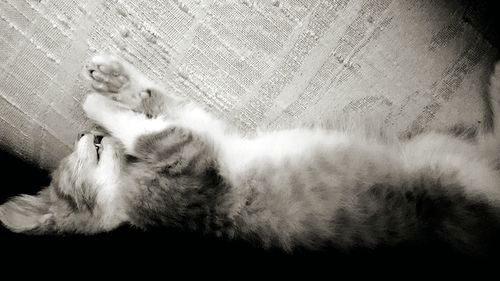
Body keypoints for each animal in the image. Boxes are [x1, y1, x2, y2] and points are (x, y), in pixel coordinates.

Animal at [0, 53, 500, 254]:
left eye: (89, 146)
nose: (90, 135)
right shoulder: (191, 162)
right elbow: (151, 132)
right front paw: (98, 105)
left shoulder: (202, 134)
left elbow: (161, 104)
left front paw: (113, 81)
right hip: (454, 174)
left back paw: (495, 80)